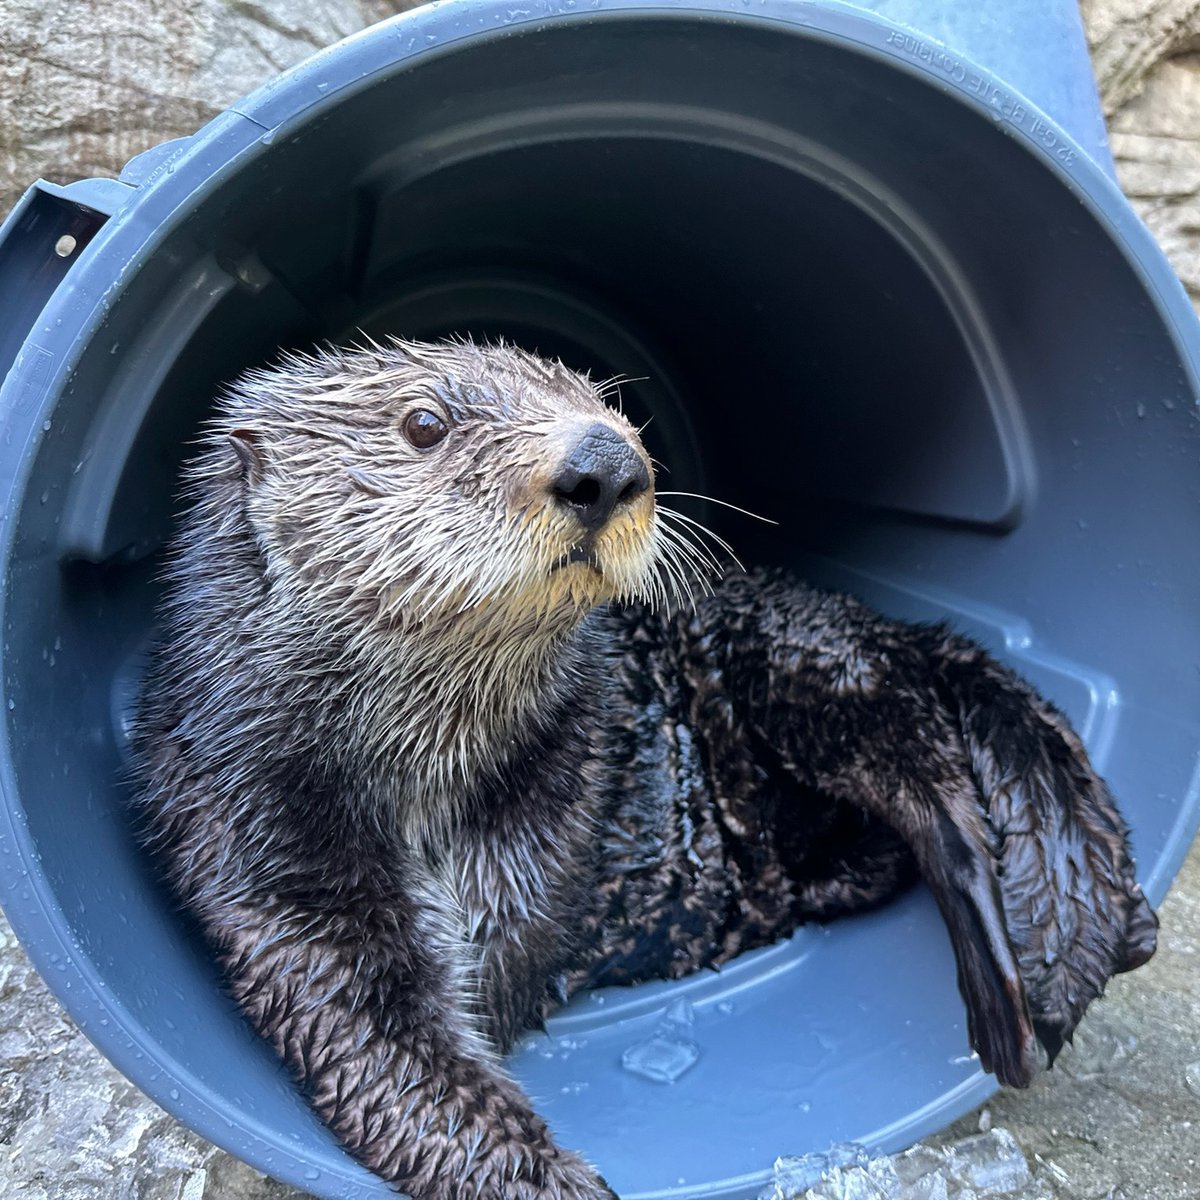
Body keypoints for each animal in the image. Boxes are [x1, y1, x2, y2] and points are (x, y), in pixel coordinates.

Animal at [136, 338, 1156, 1200]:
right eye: (424, 423)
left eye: (613, 411)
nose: (604, 463)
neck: (428, 764)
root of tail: (887, 626)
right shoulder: (262, 841)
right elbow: (372, 1038)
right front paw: (545, 1178)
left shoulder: (566, 777)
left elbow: (513, 935)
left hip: (806, 660)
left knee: (941, 795)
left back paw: (1027, 992)